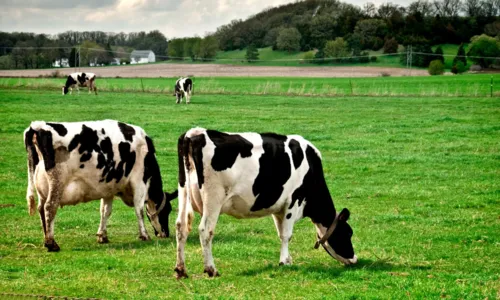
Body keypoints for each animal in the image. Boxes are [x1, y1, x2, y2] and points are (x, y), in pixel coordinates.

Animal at [25, 119, 179, 251]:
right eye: (168, 210)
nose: (165, 233)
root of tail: (38, 126)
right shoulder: (139, 182)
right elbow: (139, 209)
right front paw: (144, 235)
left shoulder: (108, 188)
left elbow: (105, 211)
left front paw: (102, 236)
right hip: (57, 182)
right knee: (50, 207)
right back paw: (52, 243)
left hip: (42, 188)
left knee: (41, 209)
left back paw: (46, 239)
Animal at [174, 127, 358, 278]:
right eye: (348, 232)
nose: (355, 259)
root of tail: (194, 133)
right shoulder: (293, 201)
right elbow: (287, 234)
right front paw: (284, 262)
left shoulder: (278, 208)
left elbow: (281, 232)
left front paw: (287, 258)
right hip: (213, 197)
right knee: (205, 230)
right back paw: (211, 269)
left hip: (183, 191)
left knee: (181, 226)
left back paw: (180, 270)